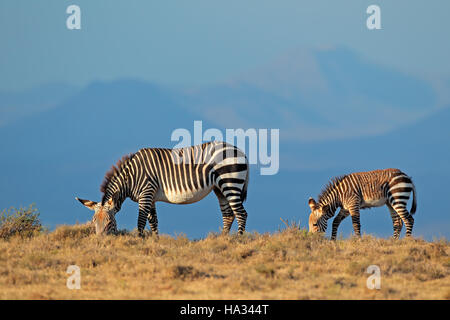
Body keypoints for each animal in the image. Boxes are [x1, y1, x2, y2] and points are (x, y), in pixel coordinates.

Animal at [75, 141, 248, 236]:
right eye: (93, 221)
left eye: (110, 222)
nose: (100, 242)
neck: (131, 178)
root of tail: (239, 150)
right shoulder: (150, 197)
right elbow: (153, 222)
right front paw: (155, 241)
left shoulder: (146, 193)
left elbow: (141, 221)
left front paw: (140, 241)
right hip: (220, 189)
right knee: (228, 215)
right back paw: (222, 239)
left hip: (230, 183)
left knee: (241, 213)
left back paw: (237, 240)